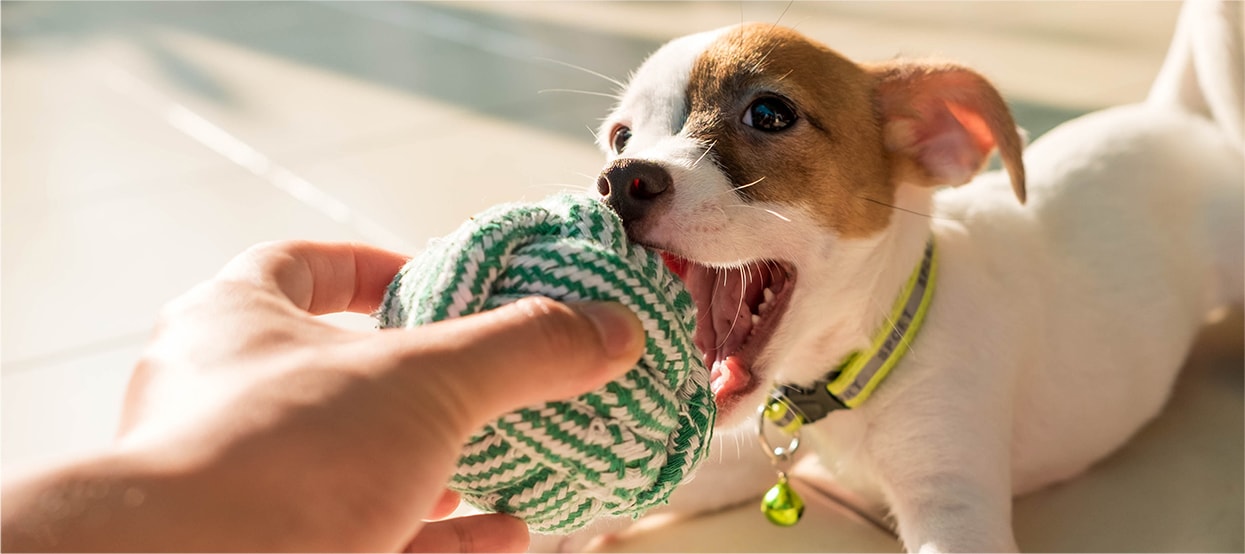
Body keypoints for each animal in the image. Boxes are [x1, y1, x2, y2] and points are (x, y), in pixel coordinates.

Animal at [570, 2, 1240, 550]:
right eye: (620, 137)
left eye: (768, 113)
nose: (620, 180)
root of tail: (1175, 120)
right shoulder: (737, 462)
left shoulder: (953, 511)